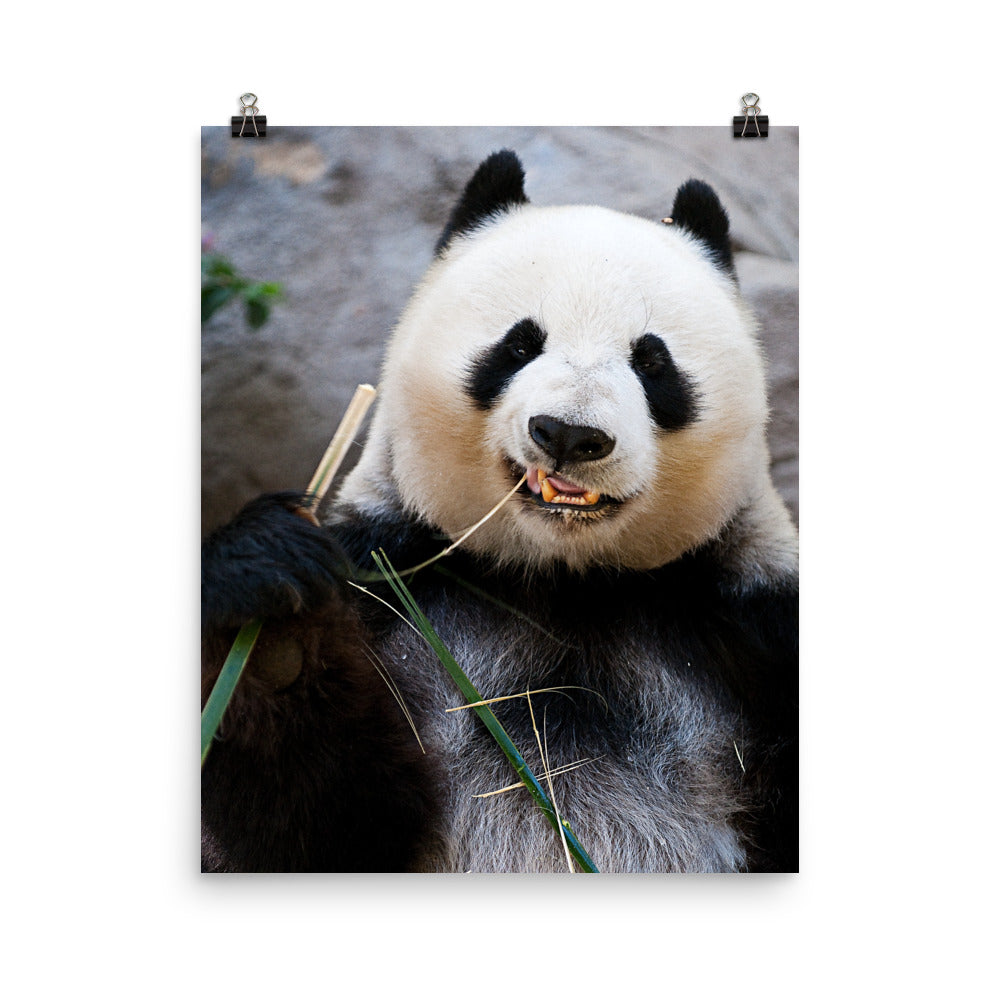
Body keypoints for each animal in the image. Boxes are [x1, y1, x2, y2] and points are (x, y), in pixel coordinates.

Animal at [201, 150, 798, 873]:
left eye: (653, 361)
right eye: (518, 346)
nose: (569, 433)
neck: (563, 583)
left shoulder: (751, 629)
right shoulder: (393, 586)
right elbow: (318, 829)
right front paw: (272, 631)